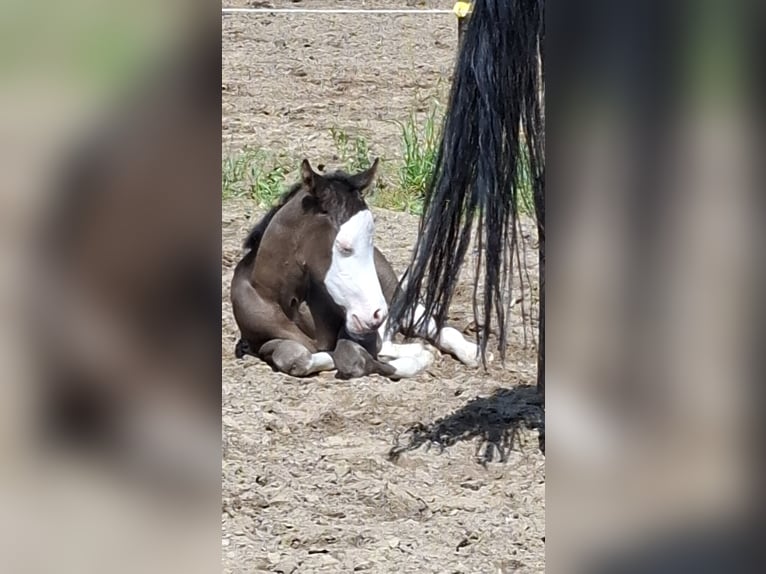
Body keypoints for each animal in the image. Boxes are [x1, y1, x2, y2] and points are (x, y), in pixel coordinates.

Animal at [230, 159, 485, 379]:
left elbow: (349, 357)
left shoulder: (359, 329)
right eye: (344, 247)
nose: (375, 314)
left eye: (371, 240)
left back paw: (471, 352)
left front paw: (420, 358)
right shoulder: (260, 342)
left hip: (392, 296)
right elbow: (297, 357)